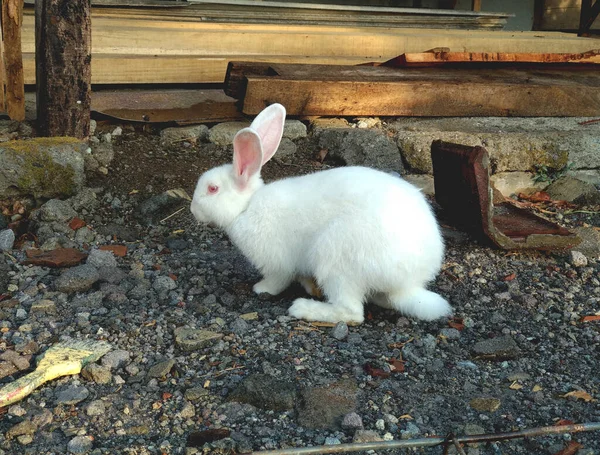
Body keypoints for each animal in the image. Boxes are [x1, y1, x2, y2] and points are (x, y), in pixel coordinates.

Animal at [192, 103, 450, 324]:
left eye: (212, 189)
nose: (193, 209)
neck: (246, 207)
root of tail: (409, 283)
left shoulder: (277, 263)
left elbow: (277, 281)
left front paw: (261, 289)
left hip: (337, 259)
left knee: (351, 312)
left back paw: (304, 308)